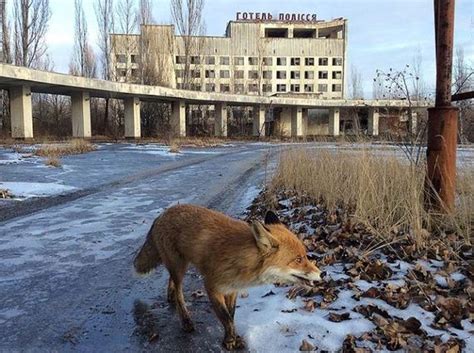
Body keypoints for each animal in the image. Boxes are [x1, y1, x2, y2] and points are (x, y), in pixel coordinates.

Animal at [135, 204, 324, 350]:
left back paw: (170, 296)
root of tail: (162, 214)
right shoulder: (211, 286)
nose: (323, 273)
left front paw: (235, 337)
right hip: (179, 266)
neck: (241, 259)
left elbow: (232, 315)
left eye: (305, 256)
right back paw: (186, 319)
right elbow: (224, 316)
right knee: (179, 292)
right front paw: (229, 341)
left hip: (180, 265)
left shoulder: (233, 289)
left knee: (171, 281)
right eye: (298, 260)